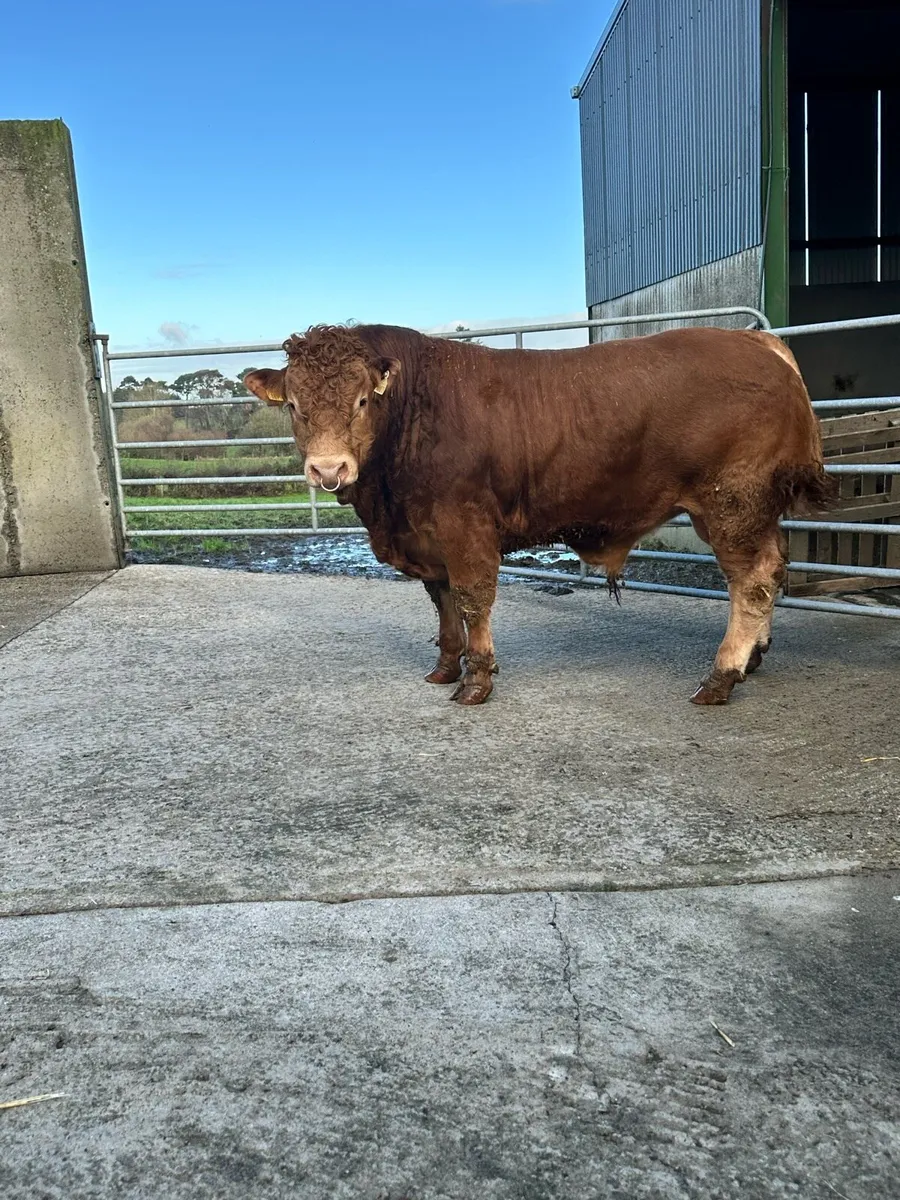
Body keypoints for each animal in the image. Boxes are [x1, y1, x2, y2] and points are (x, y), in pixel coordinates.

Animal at [244, 323, 835, 706]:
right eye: (293, 405)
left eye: (362, 400)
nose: (328, 468)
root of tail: (755, 340)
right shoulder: (427, 534)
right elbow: (442, 600)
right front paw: (445, 667)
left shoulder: (464, 523)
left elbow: (472, 598)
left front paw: (476, 681)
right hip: (750, 511)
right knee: (773, 568)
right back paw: (753, 658)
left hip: (732, 503)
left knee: (751, 582)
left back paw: (721, 676)